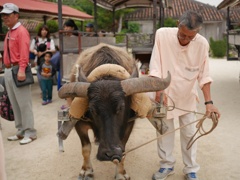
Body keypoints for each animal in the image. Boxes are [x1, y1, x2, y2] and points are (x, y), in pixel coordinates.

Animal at [58, 43, 171, 179]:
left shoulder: (128, 124)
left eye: (121, 108)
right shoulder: (78, 121)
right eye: (92, 109)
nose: (110, 153)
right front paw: (86, 170)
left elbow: (123, 150)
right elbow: (86, 148)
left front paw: (121, 173)